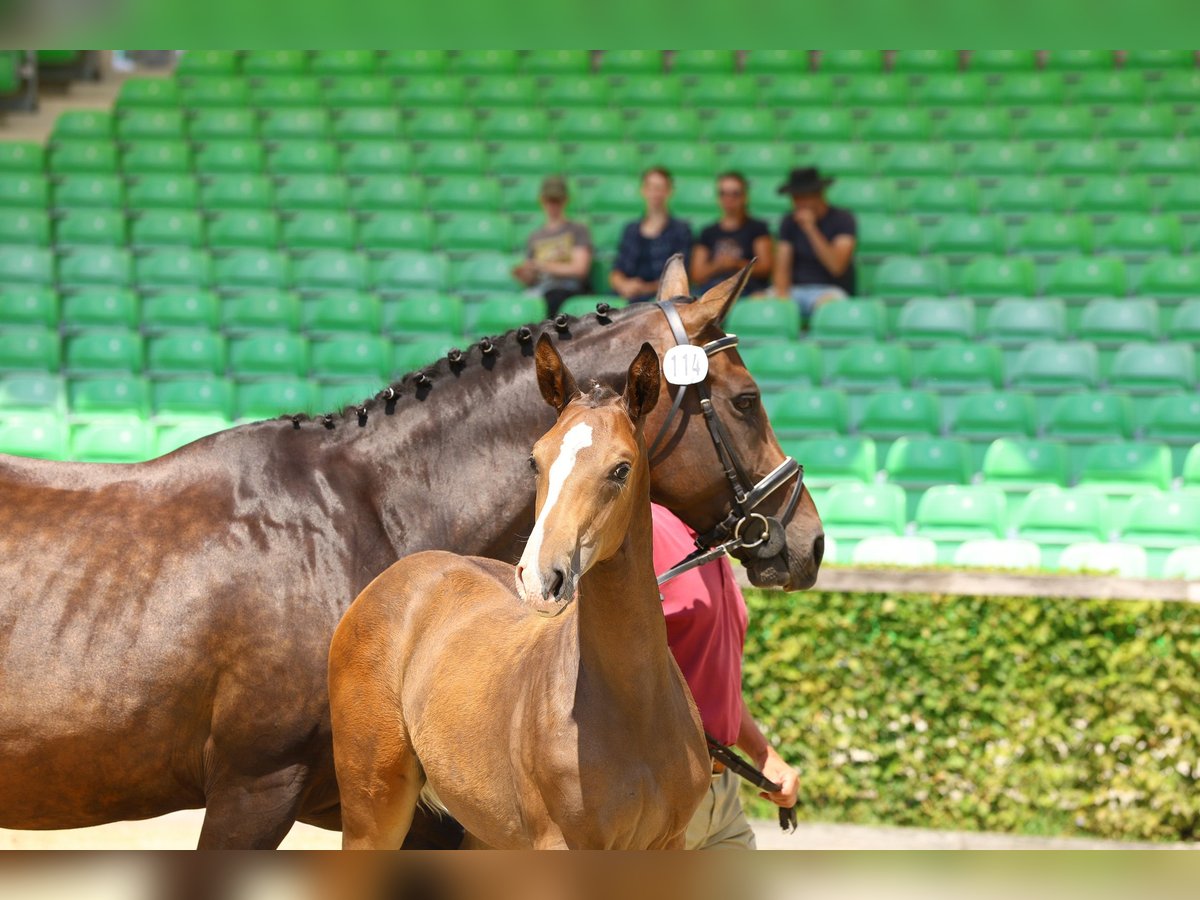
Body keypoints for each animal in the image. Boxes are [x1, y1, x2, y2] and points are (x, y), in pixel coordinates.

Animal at [328, 336, 710, 849]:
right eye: (536, 460)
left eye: (621, 469)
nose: (539, 578)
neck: (636, 710)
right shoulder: (560, 842)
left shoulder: (669, 844)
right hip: (371, 811)